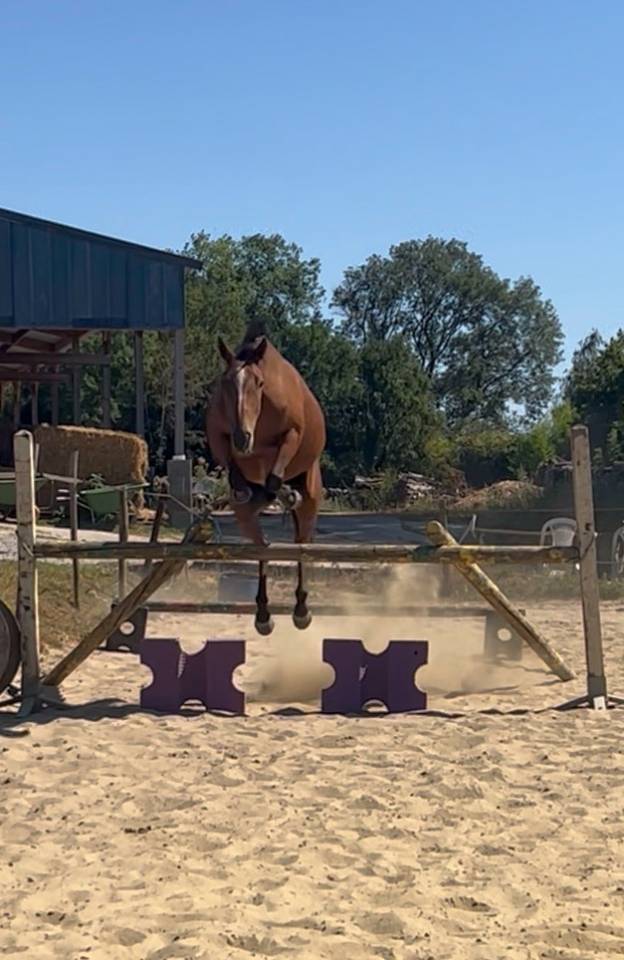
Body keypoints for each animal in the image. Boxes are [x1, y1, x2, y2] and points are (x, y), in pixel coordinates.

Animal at [206, 327, 326, 635]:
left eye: (259, 383)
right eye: (225, 383)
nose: (242, 438)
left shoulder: (291, 435)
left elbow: (273, 476)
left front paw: (283, 493)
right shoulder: (220, 438)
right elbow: (238, 476)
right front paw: (256, 492)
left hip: (311, 501)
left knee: (301, 545)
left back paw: (301, 611)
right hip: (247, 521)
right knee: (262, 545)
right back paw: (262, 614)